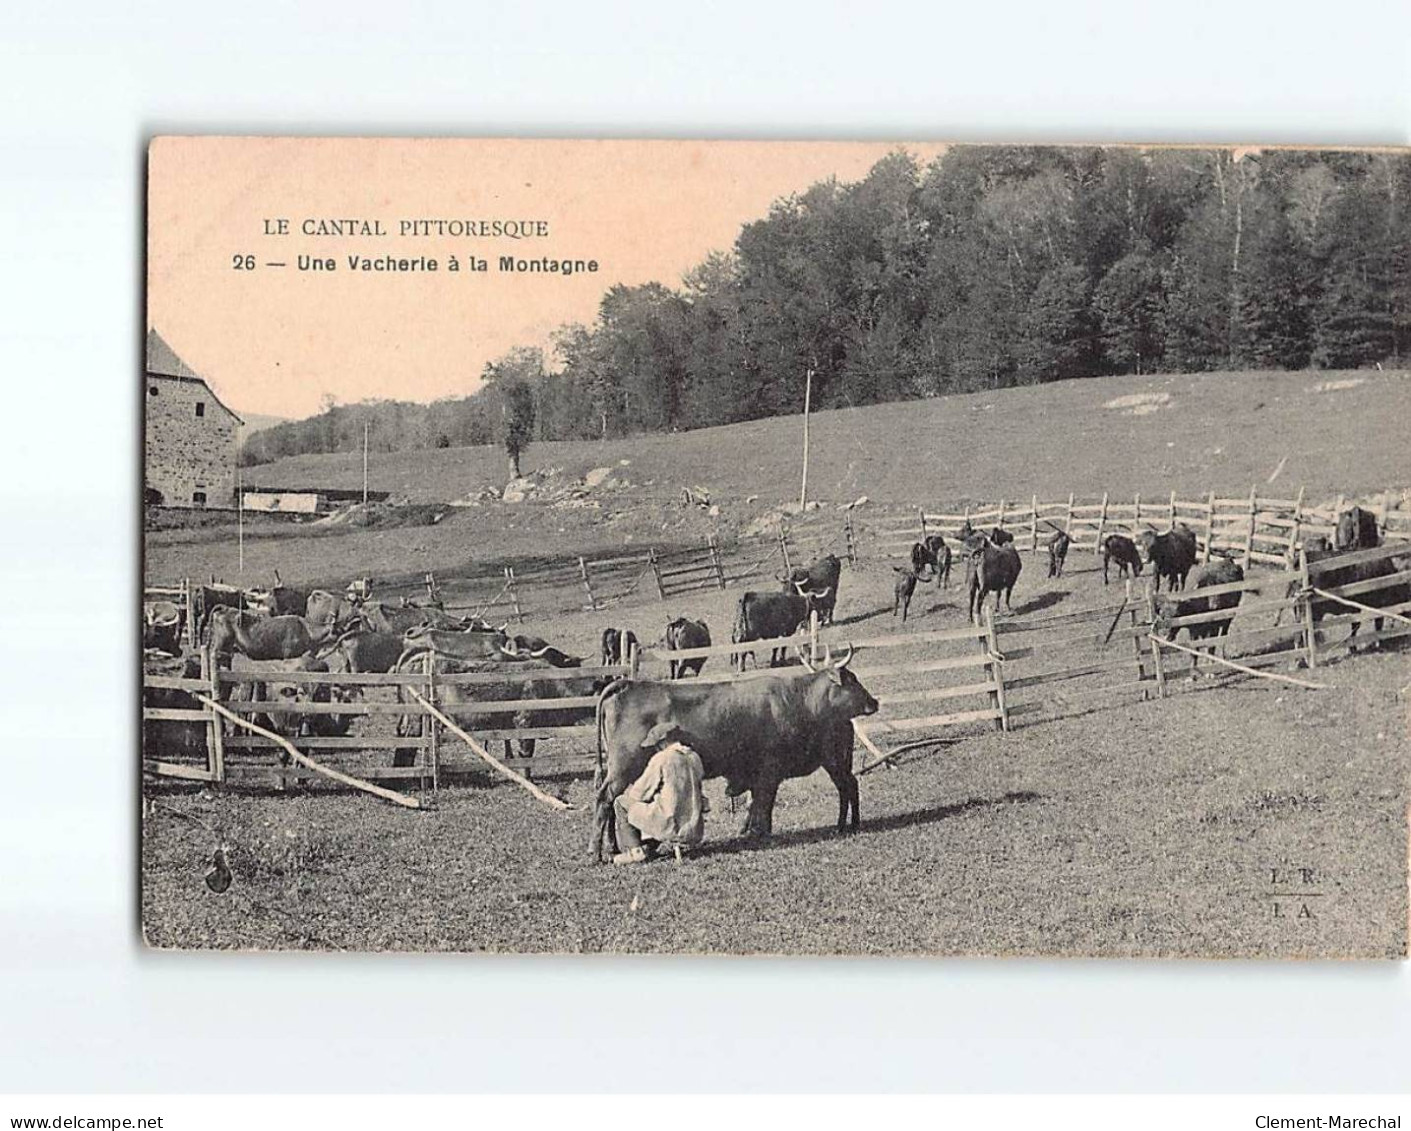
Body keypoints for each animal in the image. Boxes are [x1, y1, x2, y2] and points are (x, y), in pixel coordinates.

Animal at [589, 640, 874, 857]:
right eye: (853, 680)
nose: (875, 701)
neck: (799, 701)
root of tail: (629, 685)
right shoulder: (769, 770)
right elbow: (762, 803)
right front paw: (759, 832)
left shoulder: (765, 773)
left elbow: (759, 803)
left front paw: (755, 831)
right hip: (623, 769)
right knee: (604, 800)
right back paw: (597, 852)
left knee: (848, 785)